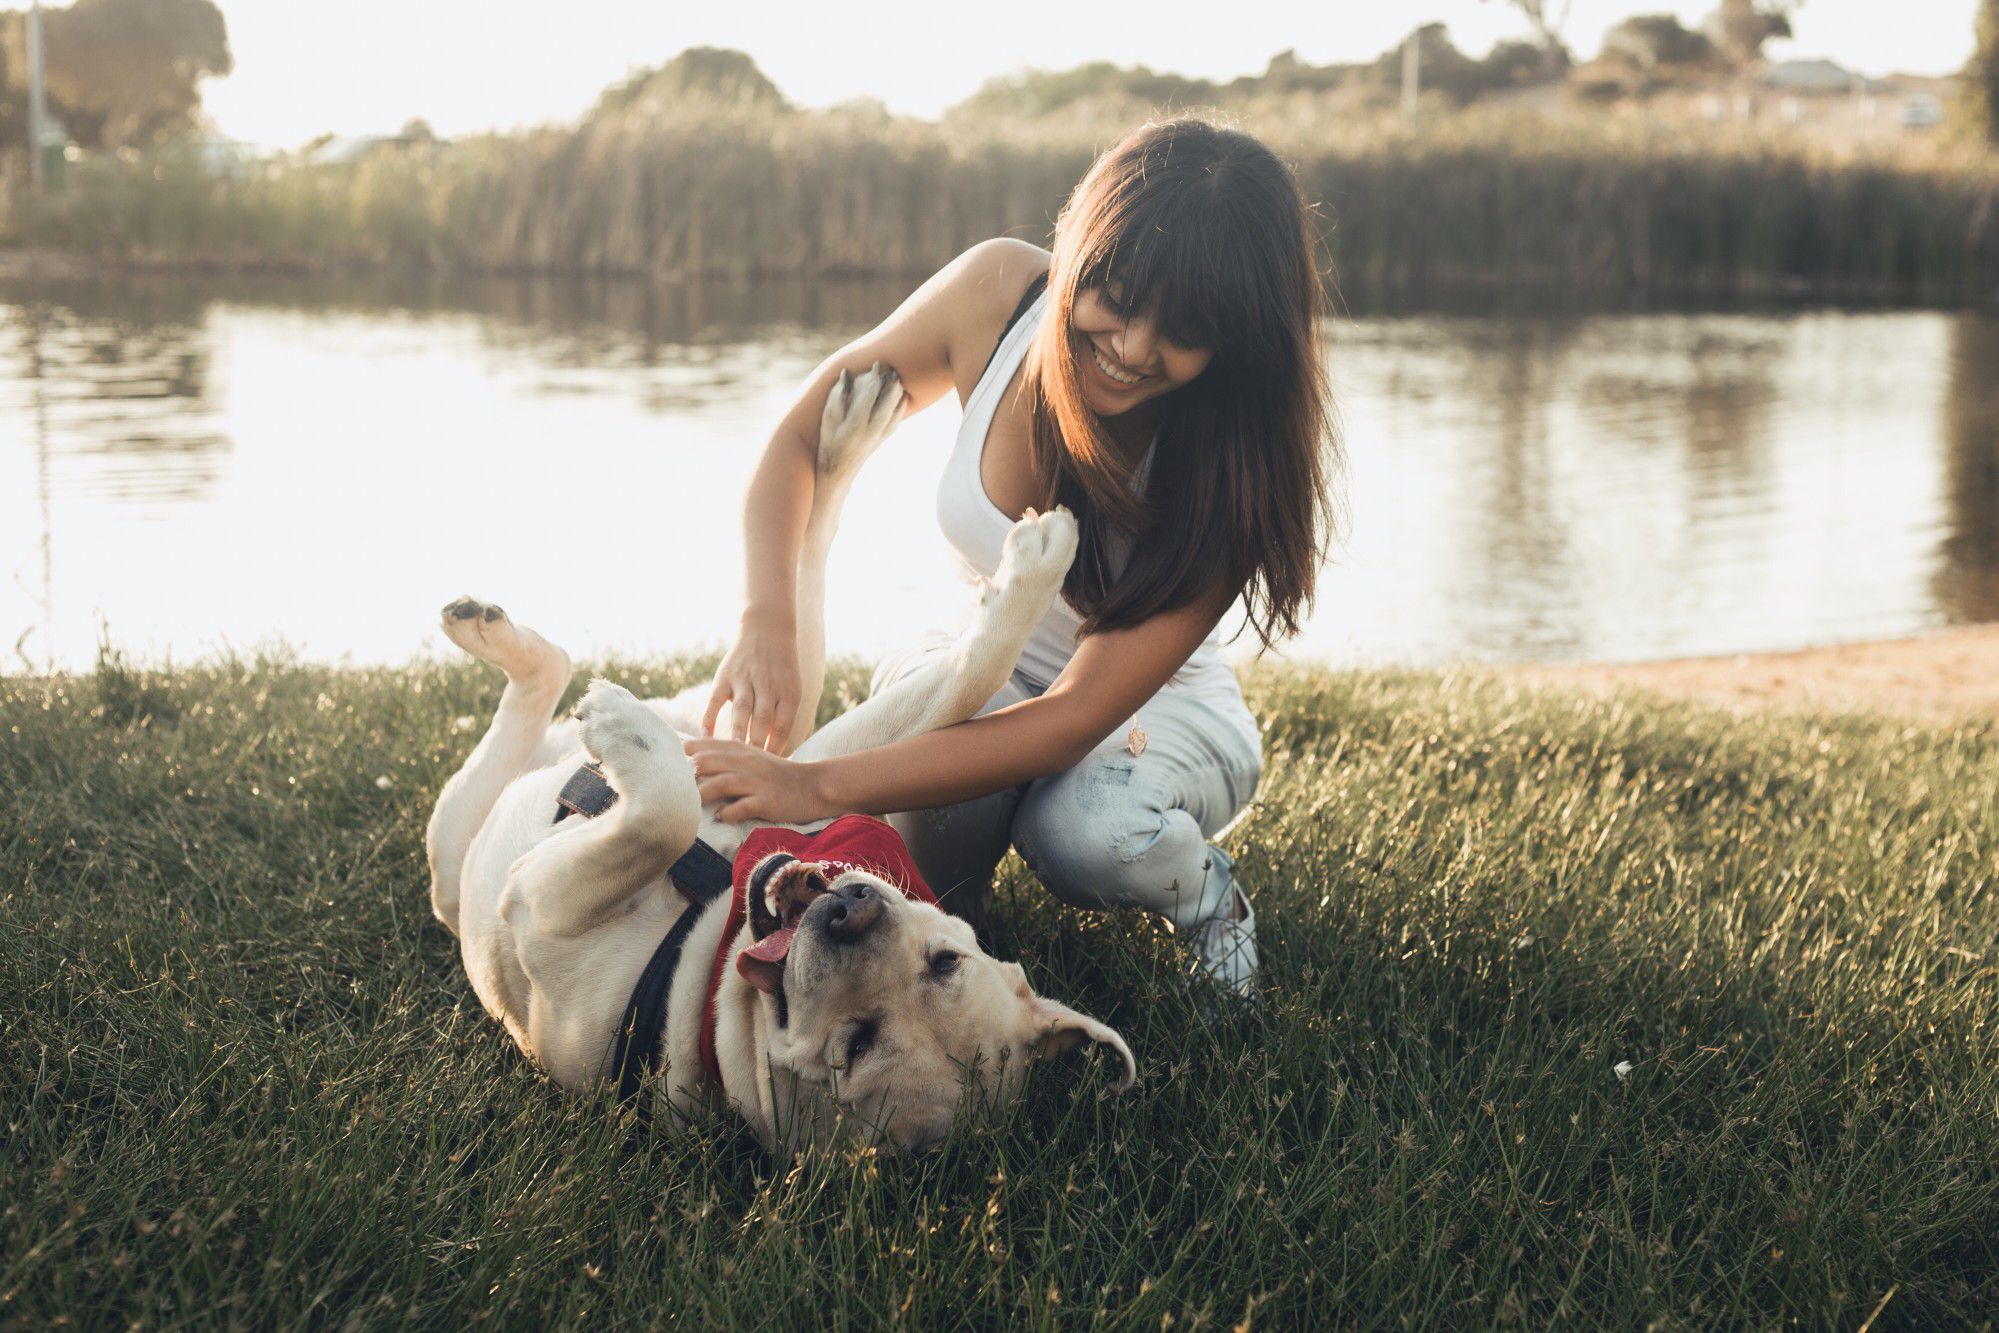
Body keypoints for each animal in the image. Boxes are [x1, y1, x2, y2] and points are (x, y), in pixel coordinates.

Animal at [423, 367, 1135, 1159]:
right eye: (945, 958)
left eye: (855, 1045)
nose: (850, 914)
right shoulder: (814, 765)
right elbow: (968, 674)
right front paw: (1038, 567)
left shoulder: (541, 906)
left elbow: (662, 818)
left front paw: (624, 734)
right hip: (775, 727)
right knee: (795, 601)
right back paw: (849, 428)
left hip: (456, 840)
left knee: (544, 692)